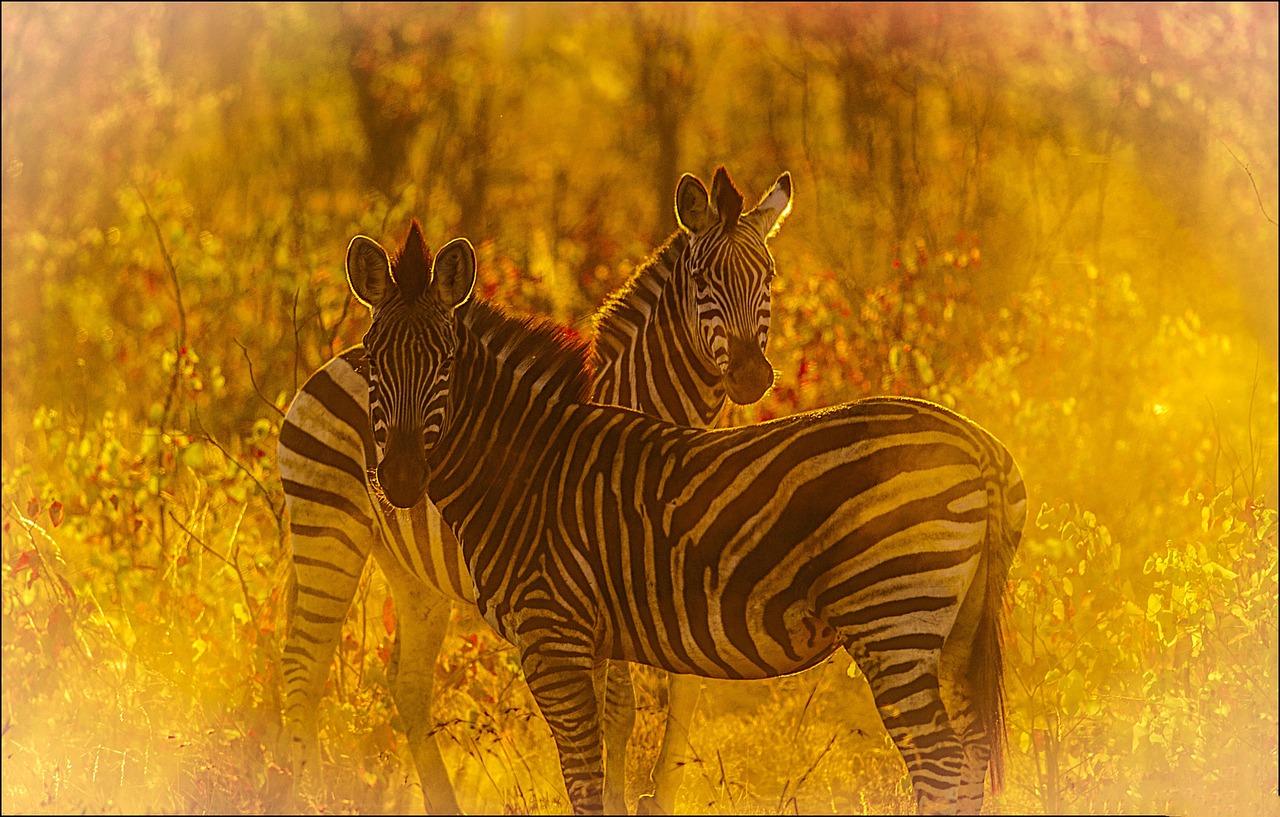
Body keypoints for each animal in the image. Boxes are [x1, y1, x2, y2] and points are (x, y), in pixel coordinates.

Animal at [277, 166, 788, 814]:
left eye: (767, 276)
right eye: (701, 281)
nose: (749, 376)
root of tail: (331, 362)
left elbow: (688, 693)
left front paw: (659, 795)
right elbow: (618, 712)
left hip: (415, 575)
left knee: (407, 687)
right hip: (328, 536)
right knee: (302, 674)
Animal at [343, 225, 1029, 817]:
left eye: (444, 362)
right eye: (372, 361)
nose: (400, 478)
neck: (527, 467)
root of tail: (979, 445)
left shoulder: (551, 637)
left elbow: (584, 780)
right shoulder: (590, 641)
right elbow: (604, 762)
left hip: (893, 613)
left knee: (940, 762)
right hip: (956, 626)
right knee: (970, 757)